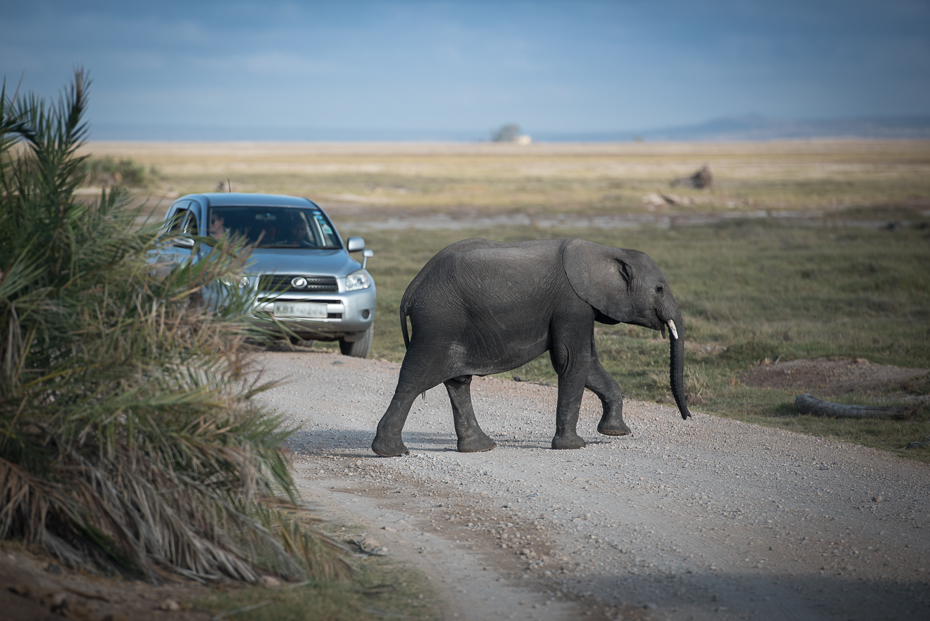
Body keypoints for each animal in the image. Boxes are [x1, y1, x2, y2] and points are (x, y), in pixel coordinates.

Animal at [372, 237, 688, 456]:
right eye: (659, 289)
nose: (687, 417)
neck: (605, 250)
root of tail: (411, 289)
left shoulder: (583, 308)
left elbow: (589, 365)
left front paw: (616, 433)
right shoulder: (572, 305)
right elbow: (572, 361)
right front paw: (573, 446)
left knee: (458, 382)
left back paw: (481, 447)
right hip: (438, 322)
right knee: (414, 379)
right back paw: (391, 452)